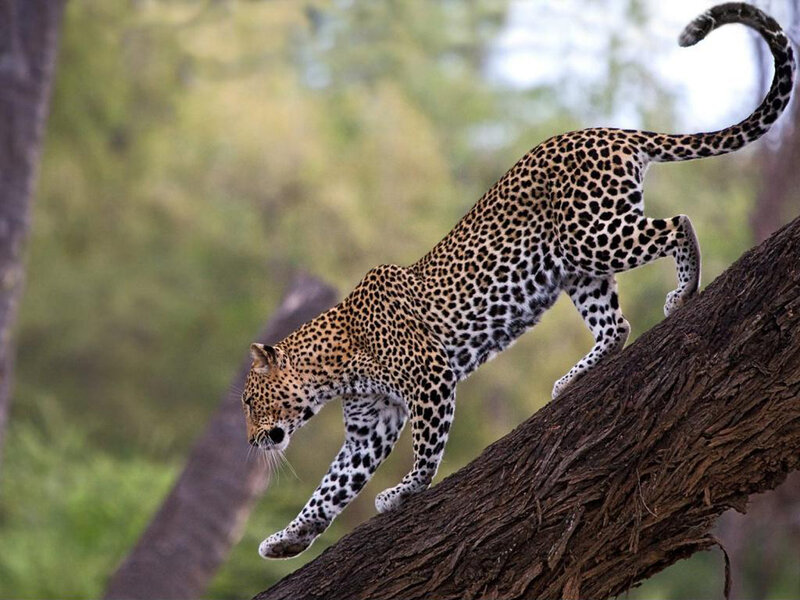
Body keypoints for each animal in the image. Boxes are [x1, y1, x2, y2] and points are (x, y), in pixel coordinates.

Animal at [242, 3, 796, 559]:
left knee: (679, 224)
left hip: (595, 235)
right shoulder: (369, 426)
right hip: (577, 268)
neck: (334, 368)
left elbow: (425, 448)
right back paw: (575, 378)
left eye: (248, 402)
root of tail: (607, 131)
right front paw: (289, 539)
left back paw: (684, 292)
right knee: (615, 325)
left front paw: (404, 491)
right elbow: (331, 488)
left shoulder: (430, 378)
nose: (249, 441)